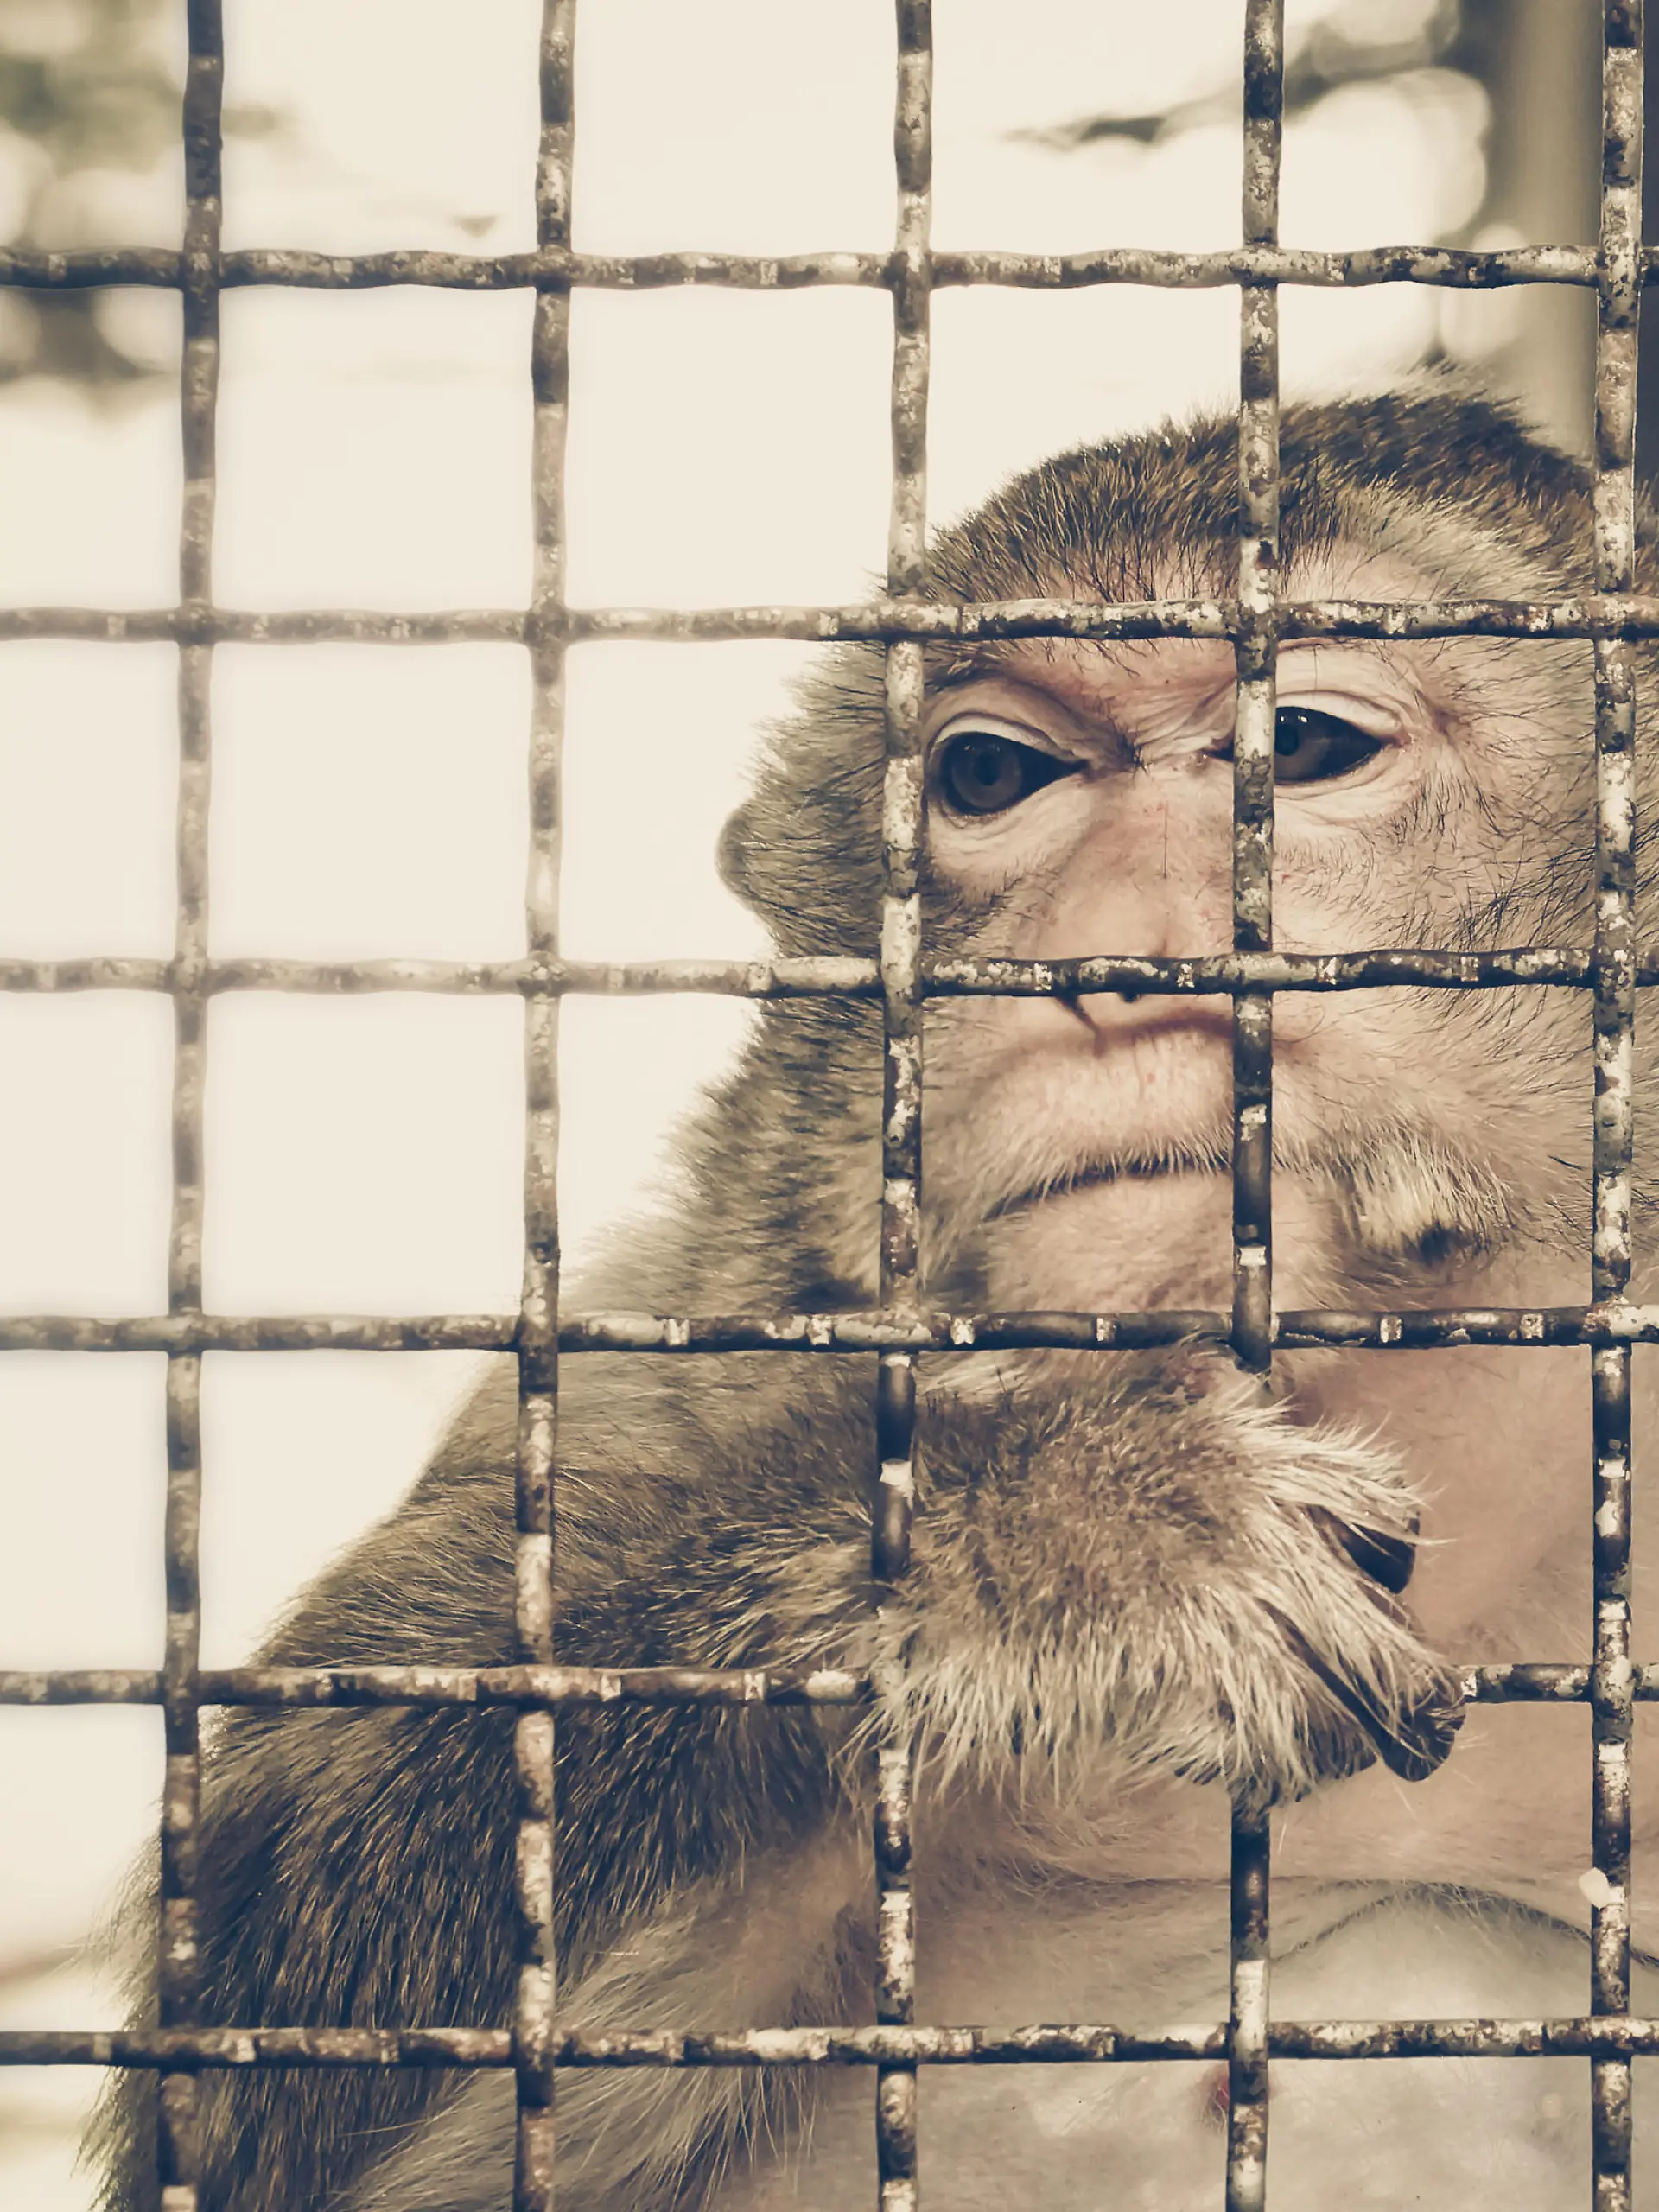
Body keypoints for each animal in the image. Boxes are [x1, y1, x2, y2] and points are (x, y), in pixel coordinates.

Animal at [90, 382, 1659, 2210]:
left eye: (1313, 748)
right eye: (988, 775)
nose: (1106, 963)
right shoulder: (668, 1337)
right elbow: (258, 2048)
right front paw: (1063, 1535)